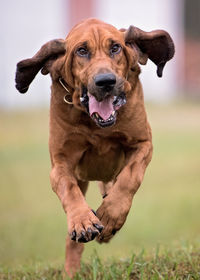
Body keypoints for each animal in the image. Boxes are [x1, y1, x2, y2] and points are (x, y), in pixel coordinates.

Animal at [15, 18, 174, 276]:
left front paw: (110, 216)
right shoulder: (60, 164)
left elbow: (130, 177)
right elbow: (68, 188)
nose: (106, 82)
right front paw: (83, 221)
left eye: (115, 48)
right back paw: (71, 269)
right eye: (81, 51)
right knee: (72, 240)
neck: (97, 125)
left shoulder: (143, 144)